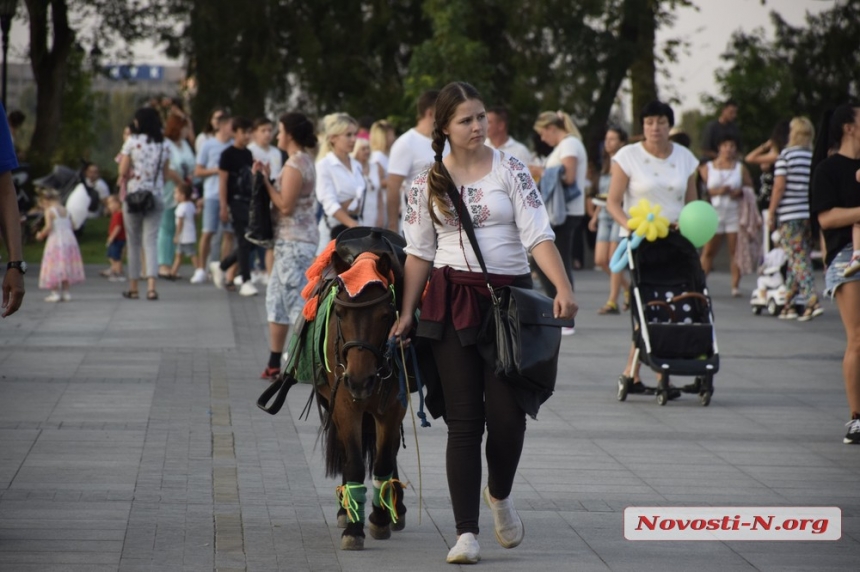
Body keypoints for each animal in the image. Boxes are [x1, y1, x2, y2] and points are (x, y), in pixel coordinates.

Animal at [318, 247, 408, 548]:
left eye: (384, 315)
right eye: (340, 312)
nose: (359, 381)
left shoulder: (393, 408)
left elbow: (383, 461)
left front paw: (380, 519)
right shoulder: (345, 405)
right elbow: (355, 462)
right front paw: (353, 528)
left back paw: (395, 508)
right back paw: (345, 509)